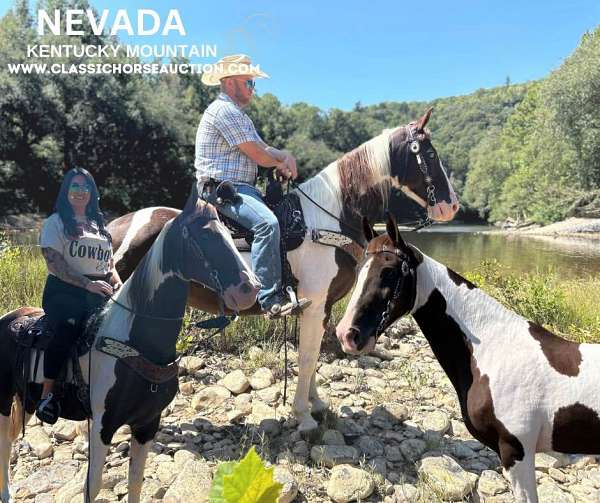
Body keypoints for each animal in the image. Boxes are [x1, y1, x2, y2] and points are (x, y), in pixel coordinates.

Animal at [0, 197, 255, 503]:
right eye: (205, 235)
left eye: (230, 234)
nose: (250, 289)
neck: (136, 343)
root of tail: (9, 319)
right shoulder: (102, 425)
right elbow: (93, 485)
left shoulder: (147, 425)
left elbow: (136, 481)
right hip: (3, 401)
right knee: (3, 446)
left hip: (26, 401)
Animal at [106, 109, 460, 434]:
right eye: (430, 154)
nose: (452, 206)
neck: (327, 219)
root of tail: (114, 227)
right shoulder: (314, 306)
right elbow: (306, 357)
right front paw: (303, 416)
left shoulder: (323, 308)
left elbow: (313, 356)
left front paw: (316, 404)